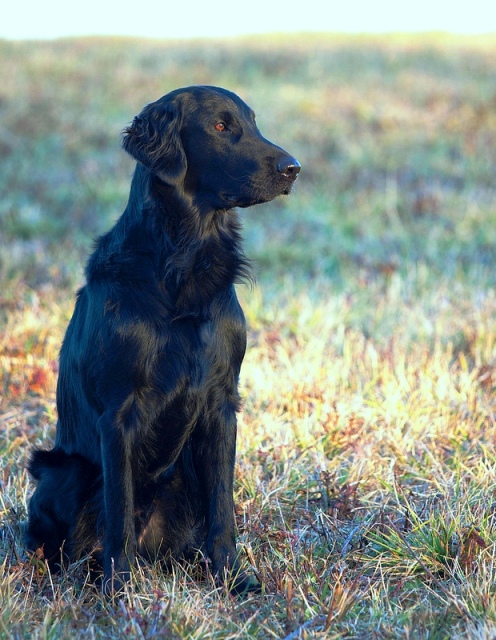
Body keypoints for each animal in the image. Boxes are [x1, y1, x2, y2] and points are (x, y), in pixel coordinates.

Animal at [25, 86, 300, 596]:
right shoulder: (119, 411)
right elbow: (118, 514)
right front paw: (118, 591)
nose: (294, 168)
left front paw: (232, 579)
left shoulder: (221, 403)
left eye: (254, 122)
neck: (183, 263)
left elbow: (222, 511)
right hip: (62, 471)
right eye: (220, 126)